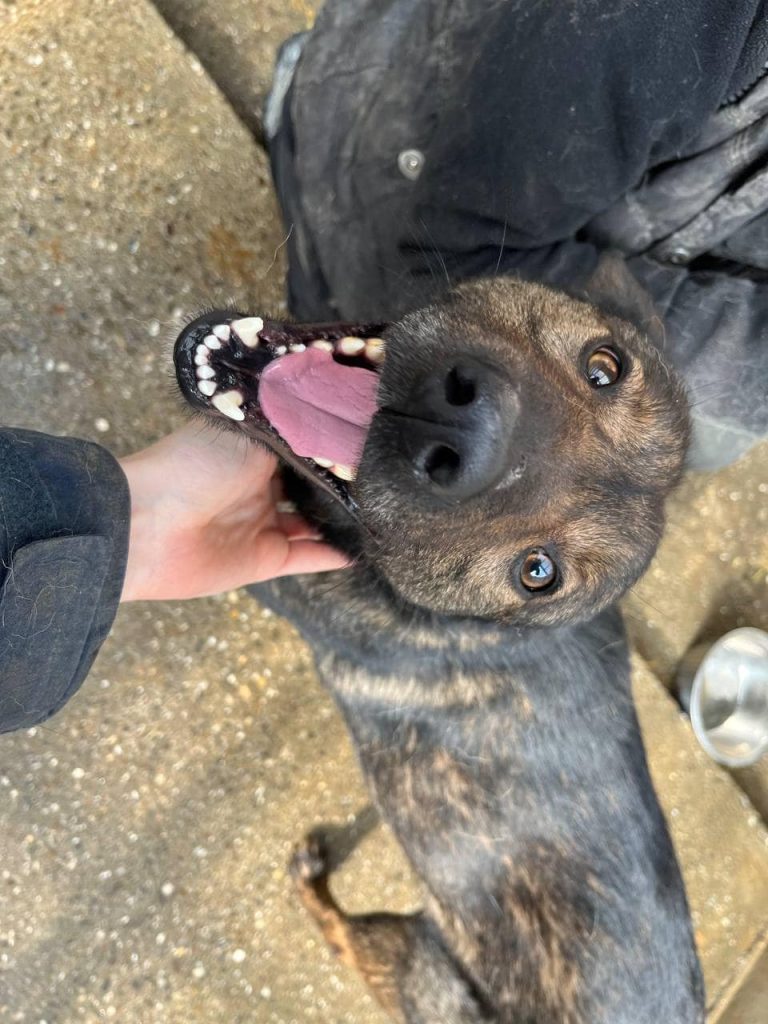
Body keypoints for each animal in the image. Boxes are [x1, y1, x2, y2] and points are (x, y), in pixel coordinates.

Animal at [173, 274, 704, 1024]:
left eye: (537, 573)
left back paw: (311, 883)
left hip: (416, 963)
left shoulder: (283, 586)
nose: (465, 428)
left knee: (345, 937)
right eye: (605, 366)